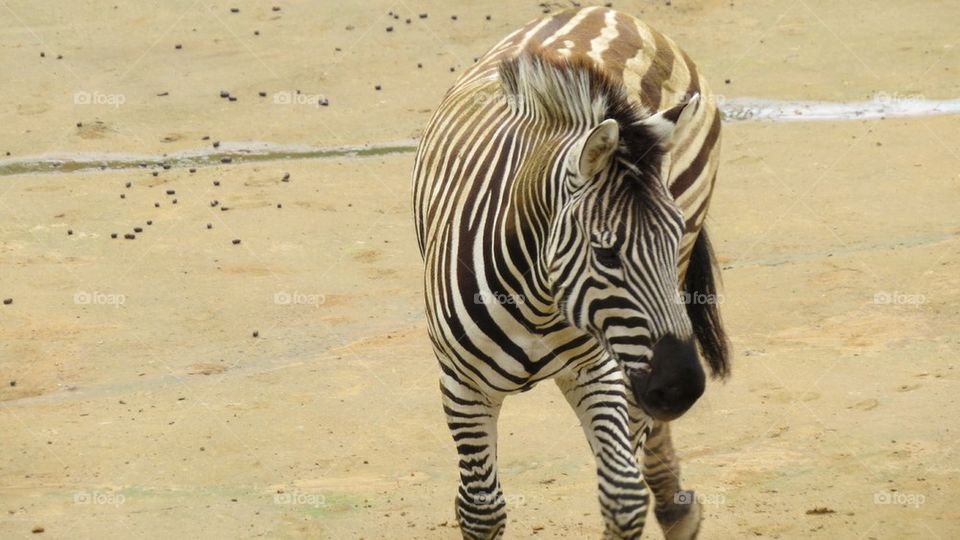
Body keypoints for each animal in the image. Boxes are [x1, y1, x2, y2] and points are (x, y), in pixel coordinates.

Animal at [412, 7, 729, 539]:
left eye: (672, 236)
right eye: (606, 254)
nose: (683, 387)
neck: (537, 300)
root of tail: (611, 13)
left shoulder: (596, 372)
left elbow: (622, 497)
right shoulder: (462, 385)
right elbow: (480, 510)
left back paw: (673, 505)